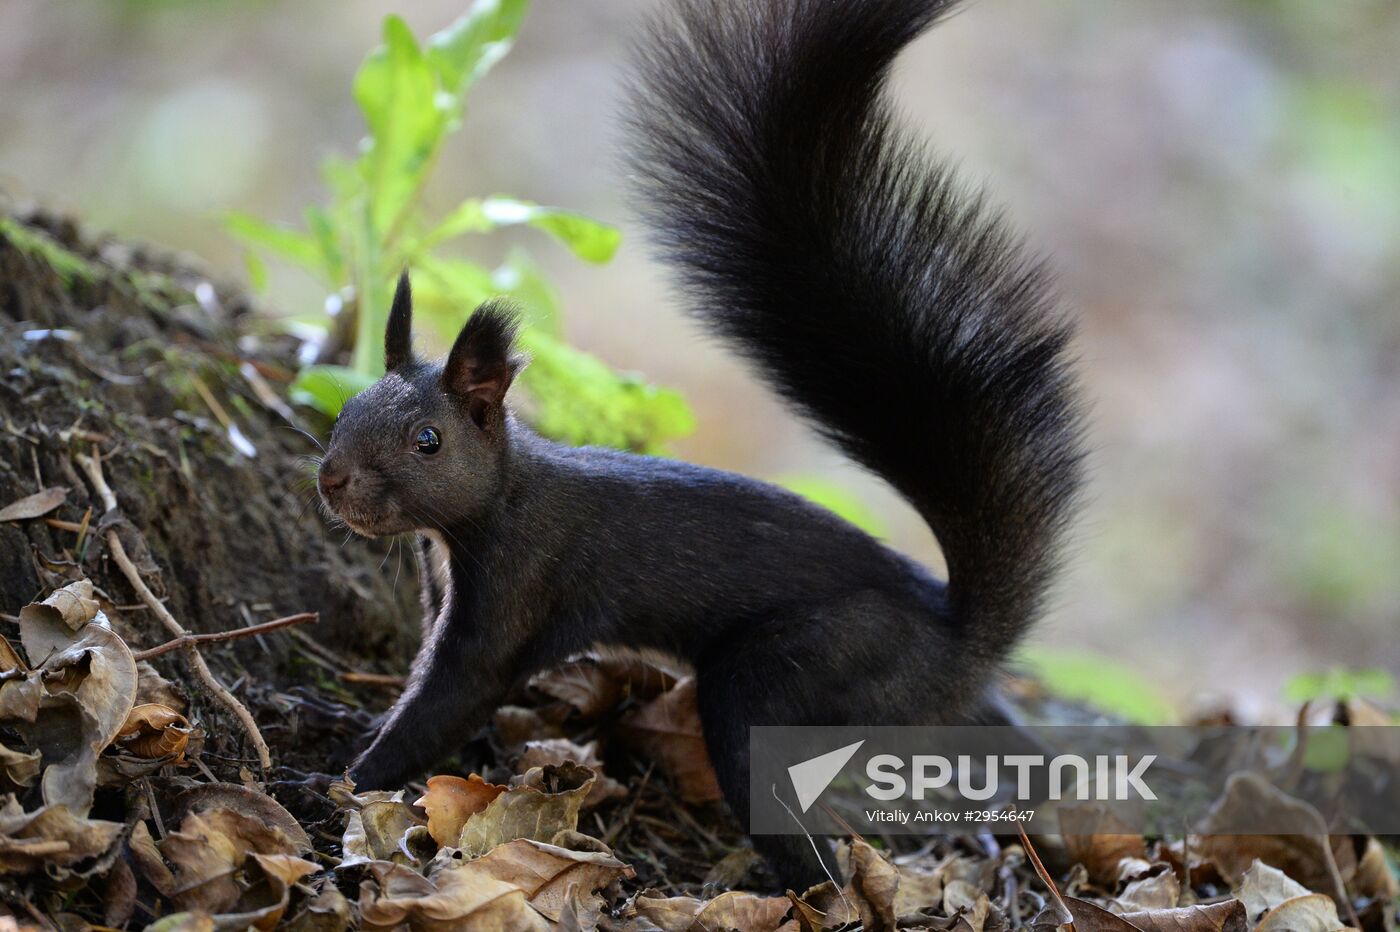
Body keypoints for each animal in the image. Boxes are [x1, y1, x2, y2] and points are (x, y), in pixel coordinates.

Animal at [315, 0, 1080, 884]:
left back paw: (809, 883)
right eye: (344, 407)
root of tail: (957, 643)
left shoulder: (517, 584)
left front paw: (345, 778)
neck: (489, 503)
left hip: (797, 670)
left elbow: (452, 696)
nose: (332, 479)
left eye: (428, 441)